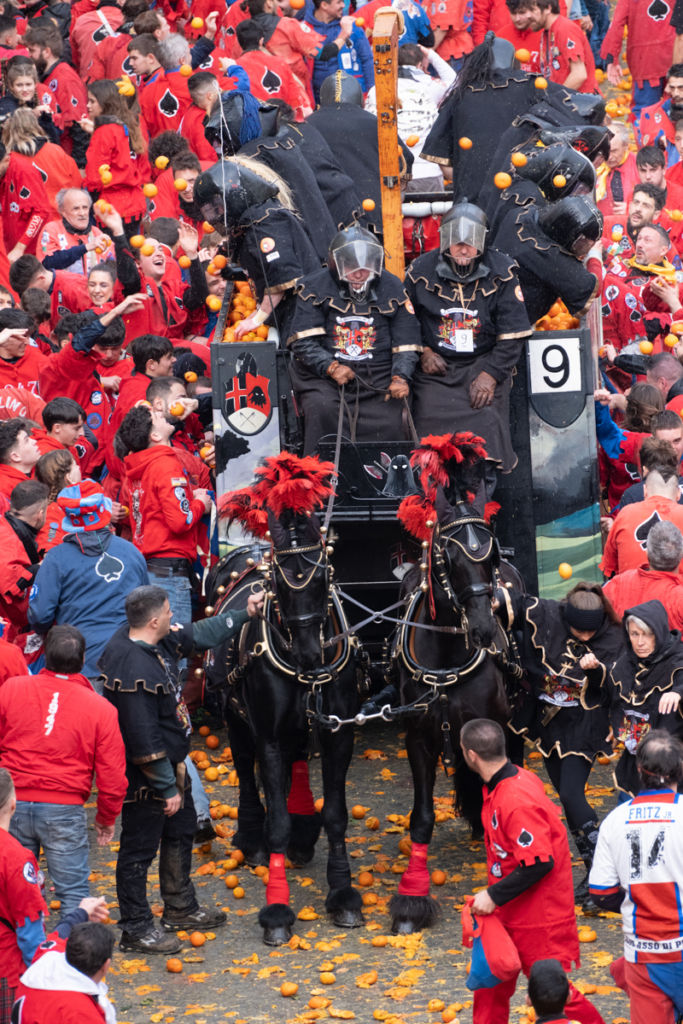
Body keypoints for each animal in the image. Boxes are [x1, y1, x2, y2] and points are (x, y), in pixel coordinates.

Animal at [205, 460, 366, 946]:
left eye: (324, 572)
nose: (312, 652)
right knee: (245, 769)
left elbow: (336, 815)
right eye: (279, 577)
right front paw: (277, 910)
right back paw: (250, 835)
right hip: (234, 717)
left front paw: (343, 893)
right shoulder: (268, 736)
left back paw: (302, 834)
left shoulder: (338, 733)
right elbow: (275, 820)